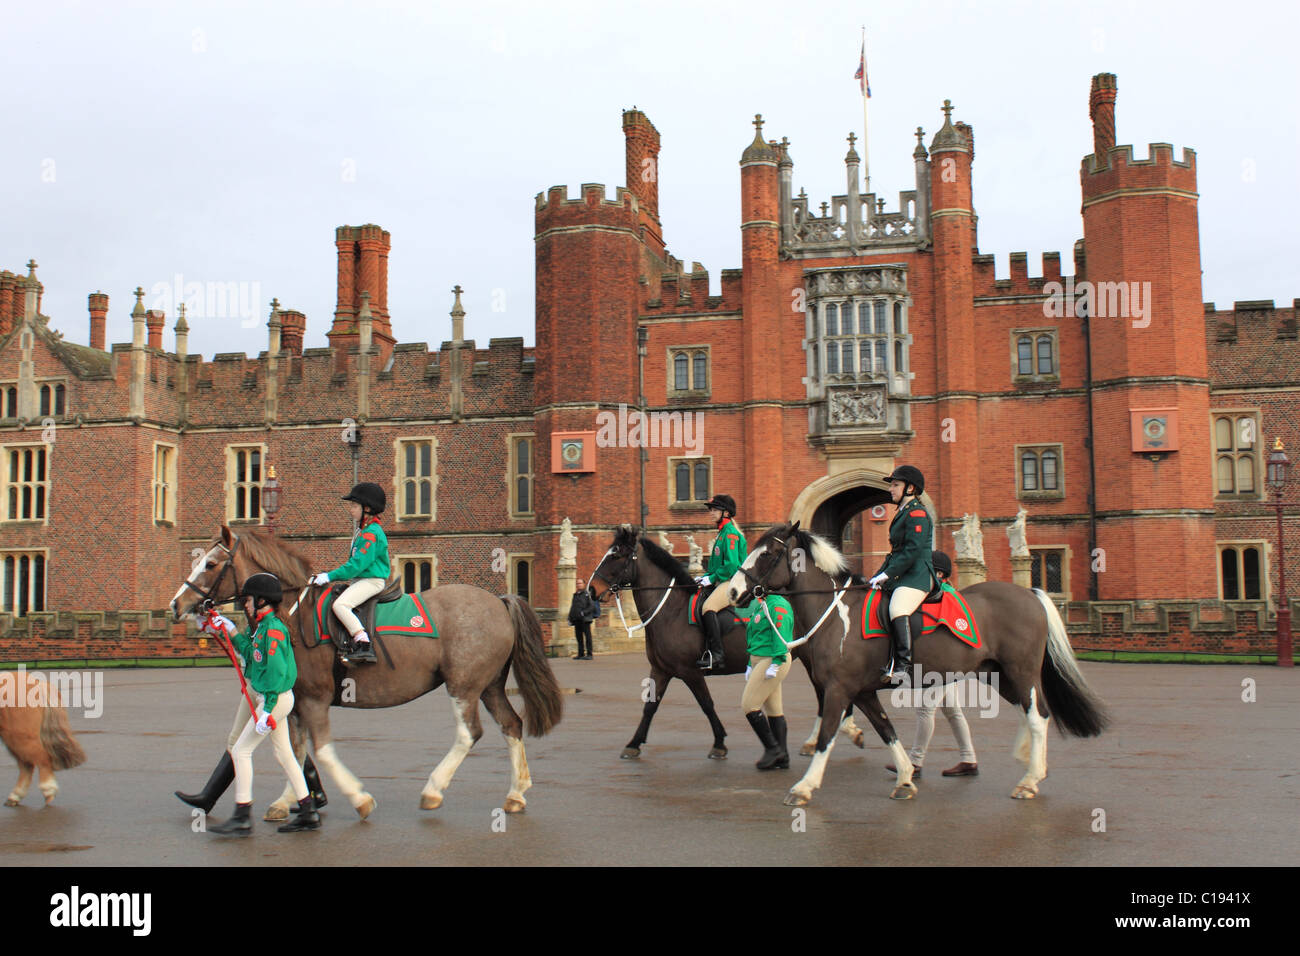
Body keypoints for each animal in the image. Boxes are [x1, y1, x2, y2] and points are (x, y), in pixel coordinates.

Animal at [169, 528, 564, 816]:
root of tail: (498, 600)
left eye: (210, 564)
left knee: (470, 734)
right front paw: (290, 800)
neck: (294, 613)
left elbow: (321, 751)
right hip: (489, 686)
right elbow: (295, 753)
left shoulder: (314, 700)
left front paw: (358, 798)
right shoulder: (293, 703)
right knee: (511, 725)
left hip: (463, 687)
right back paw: (515, 794)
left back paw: (434, 790)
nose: (176, 604)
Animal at [722, 528, 1107, 806]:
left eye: (767, 554)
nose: (734, 592)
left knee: (1037, 716)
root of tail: (1030, 594)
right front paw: (906, 776)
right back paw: (1030, 767)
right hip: (998, 675)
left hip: (1021, 672)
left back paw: (1029, 779)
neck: (836, 615)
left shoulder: (838, 690)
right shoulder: (862, 692)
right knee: (1030, 714)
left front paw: (804, 787)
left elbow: (828, 736)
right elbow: (886, 730)